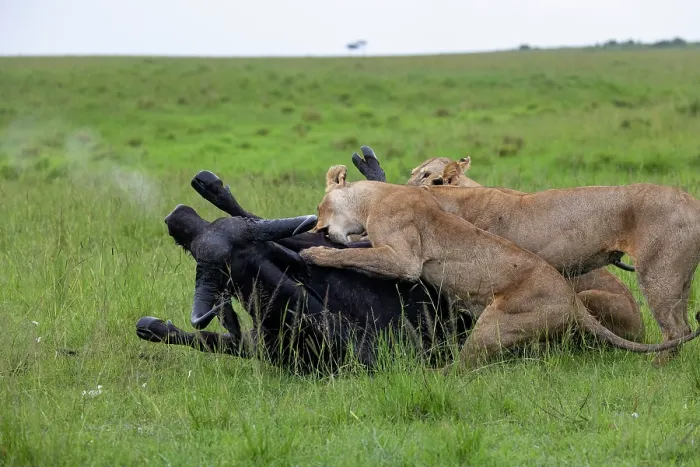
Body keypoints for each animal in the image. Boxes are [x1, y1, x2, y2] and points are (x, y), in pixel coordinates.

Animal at [299, 165, 700, 370]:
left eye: (319, 208)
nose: (316, 229)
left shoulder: (405, 258)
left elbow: (357, 255)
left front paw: (316, 255)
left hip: (653, 277)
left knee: (676, 329)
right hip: (677, 280)